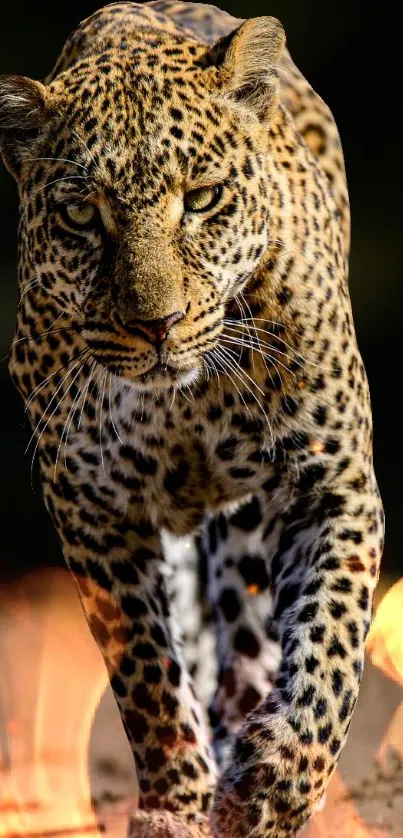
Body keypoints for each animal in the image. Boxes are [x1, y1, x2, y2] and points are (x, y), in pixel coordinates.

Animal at [0, 3, 386, 836]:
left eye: (202, 198)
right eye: (81, 214)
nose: (158, 324)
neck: (185, 400)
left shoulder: (332, 483)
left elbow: (331, 647)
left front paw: (274, 785)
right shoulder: (93, 509)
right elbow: (145, 673)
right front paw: (175, 804)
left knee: (249, 631)